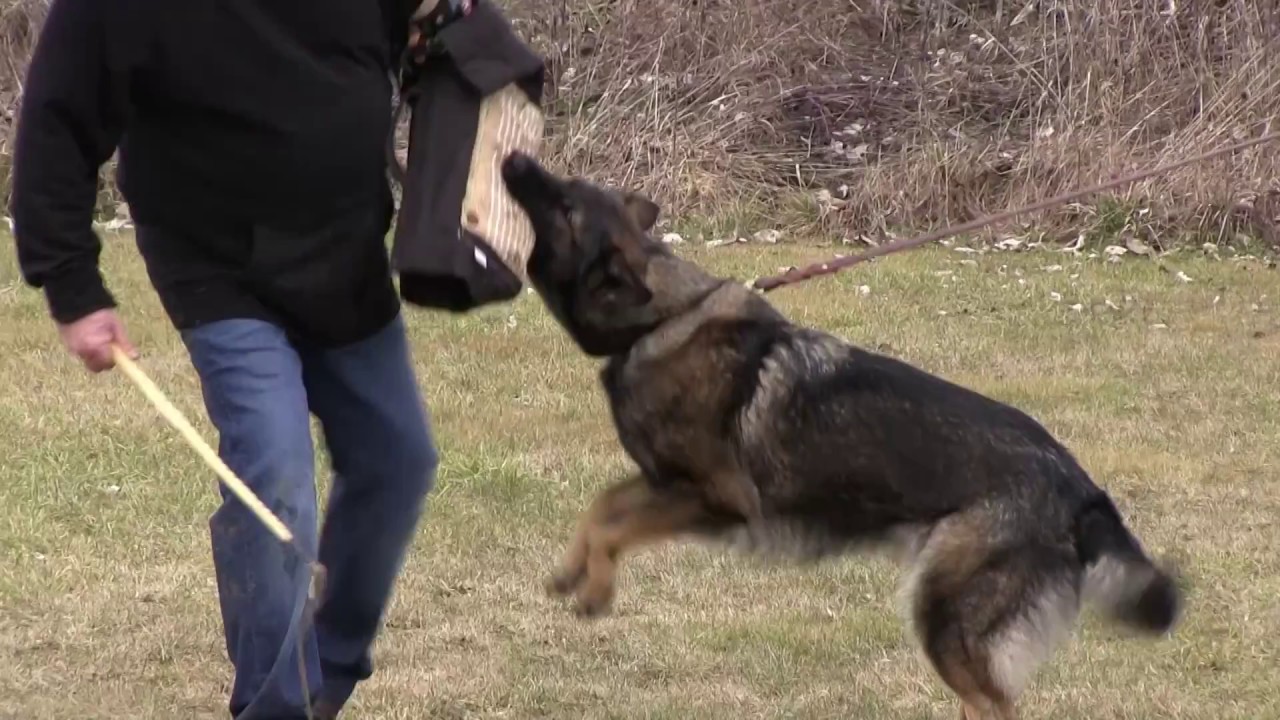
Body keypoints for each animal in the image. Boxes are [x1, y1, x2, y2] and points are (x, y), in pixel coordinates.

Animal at [496, 152, 1177, 717]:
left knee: (995, 706)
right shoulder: (666, 484)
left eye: (565, 205)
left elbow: (616, 525)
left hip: (942, 614)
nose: (515, 158)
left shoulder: (717, 499)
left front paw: (597, 588)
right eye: (566, 184)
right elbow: (603, 507)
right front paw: (574, 572)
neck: (658, 319)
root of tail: (1080, 488)